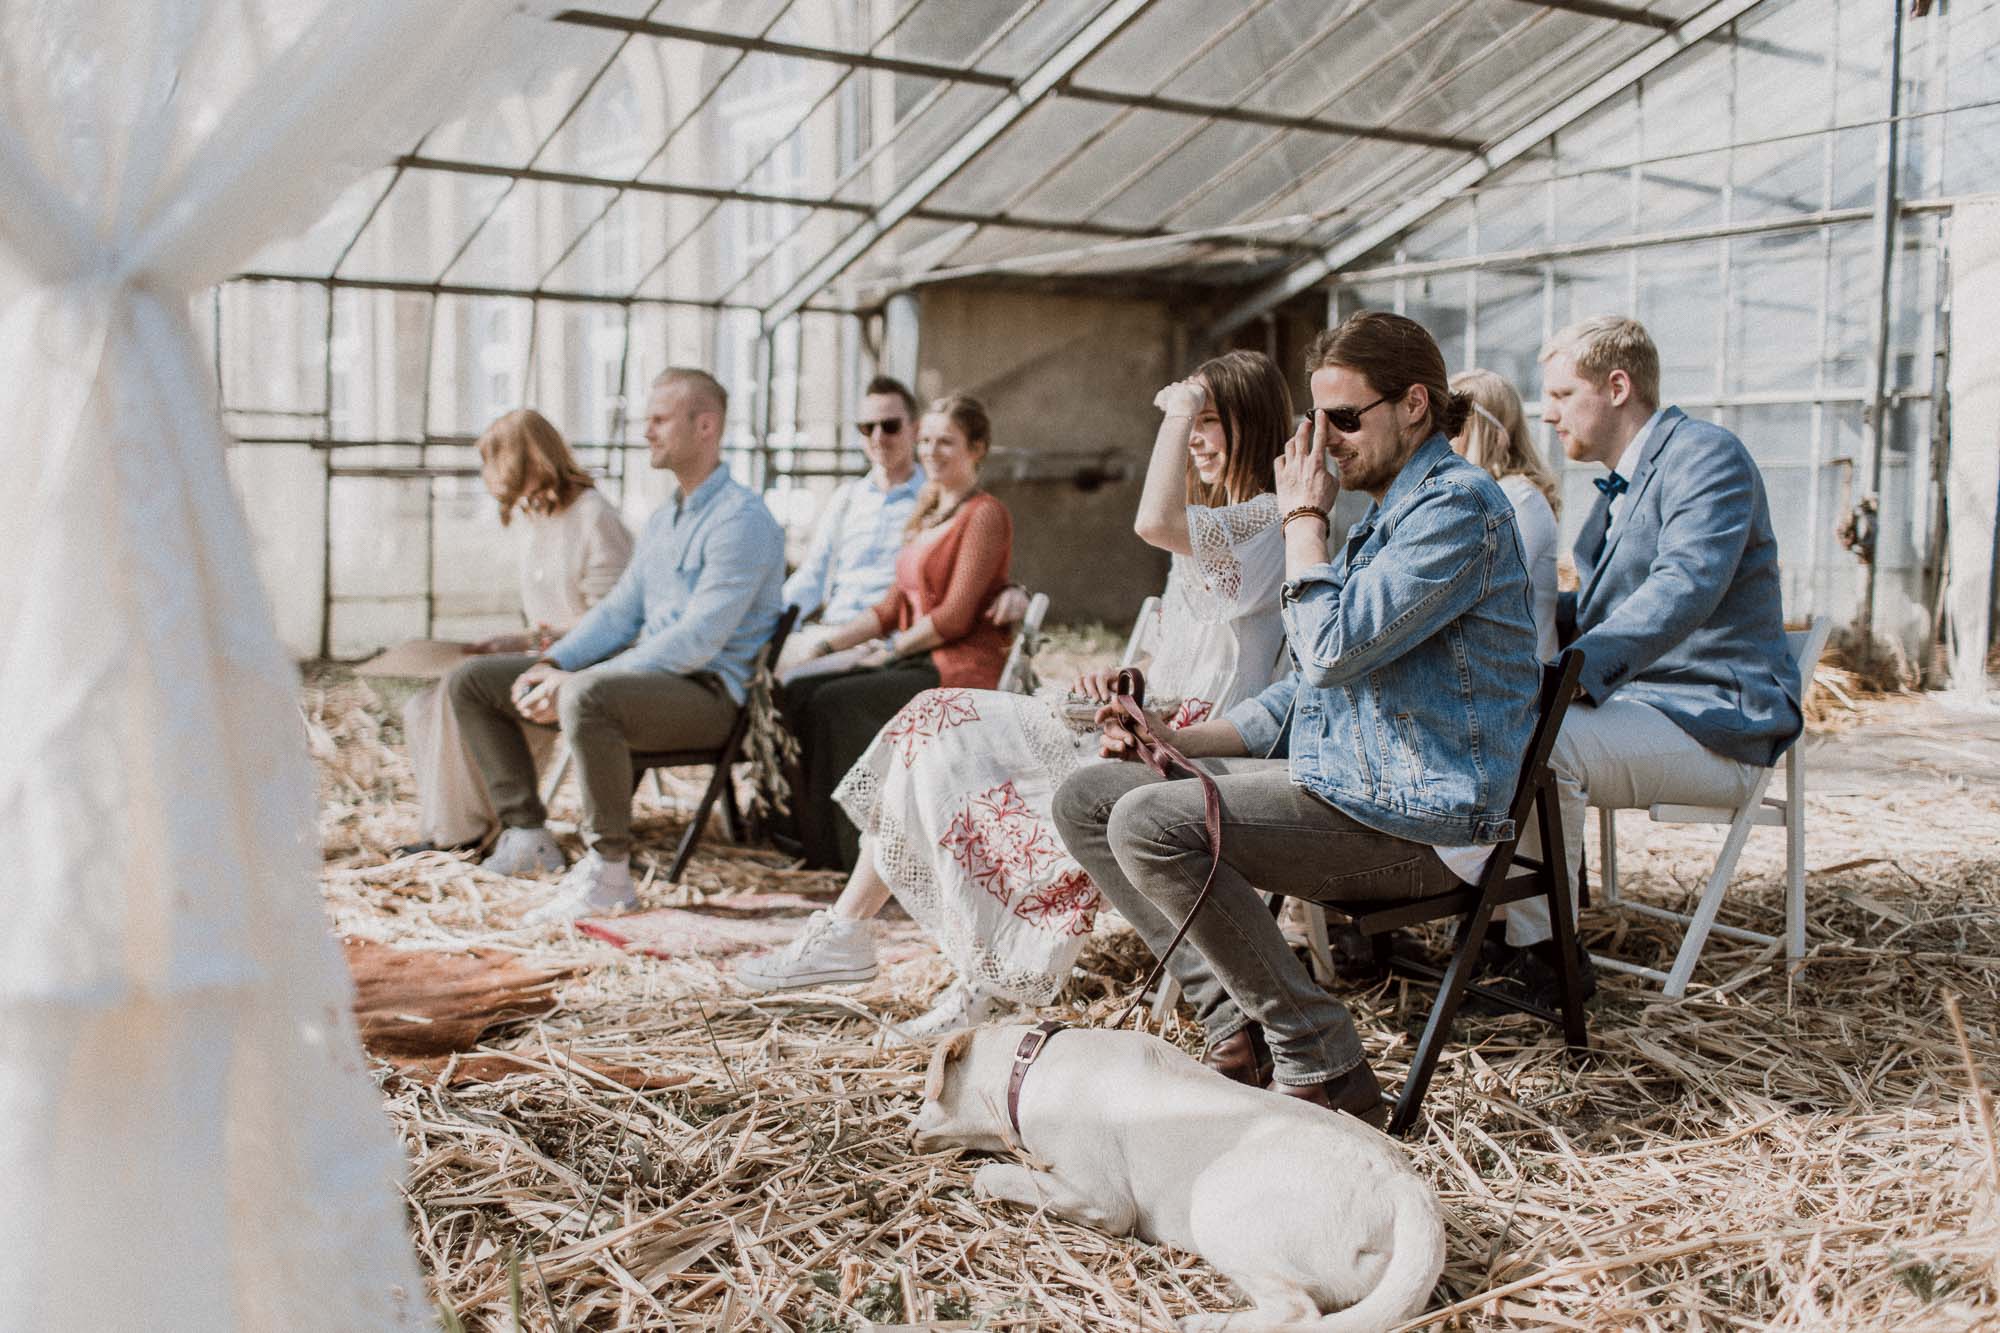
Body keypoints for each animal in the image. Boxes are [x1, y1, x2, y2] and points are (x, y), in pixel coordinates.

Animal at [916, 1020, 1448, 1320]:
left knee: (1297, 1314)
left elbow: (1002, 1177)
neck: (1027, 1065)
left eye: (928, 1088)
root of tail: (1405, 1187)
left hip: (1216, 1206)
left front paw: (988, 1175)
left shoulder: (1101, 1199)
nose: (910, 1132)